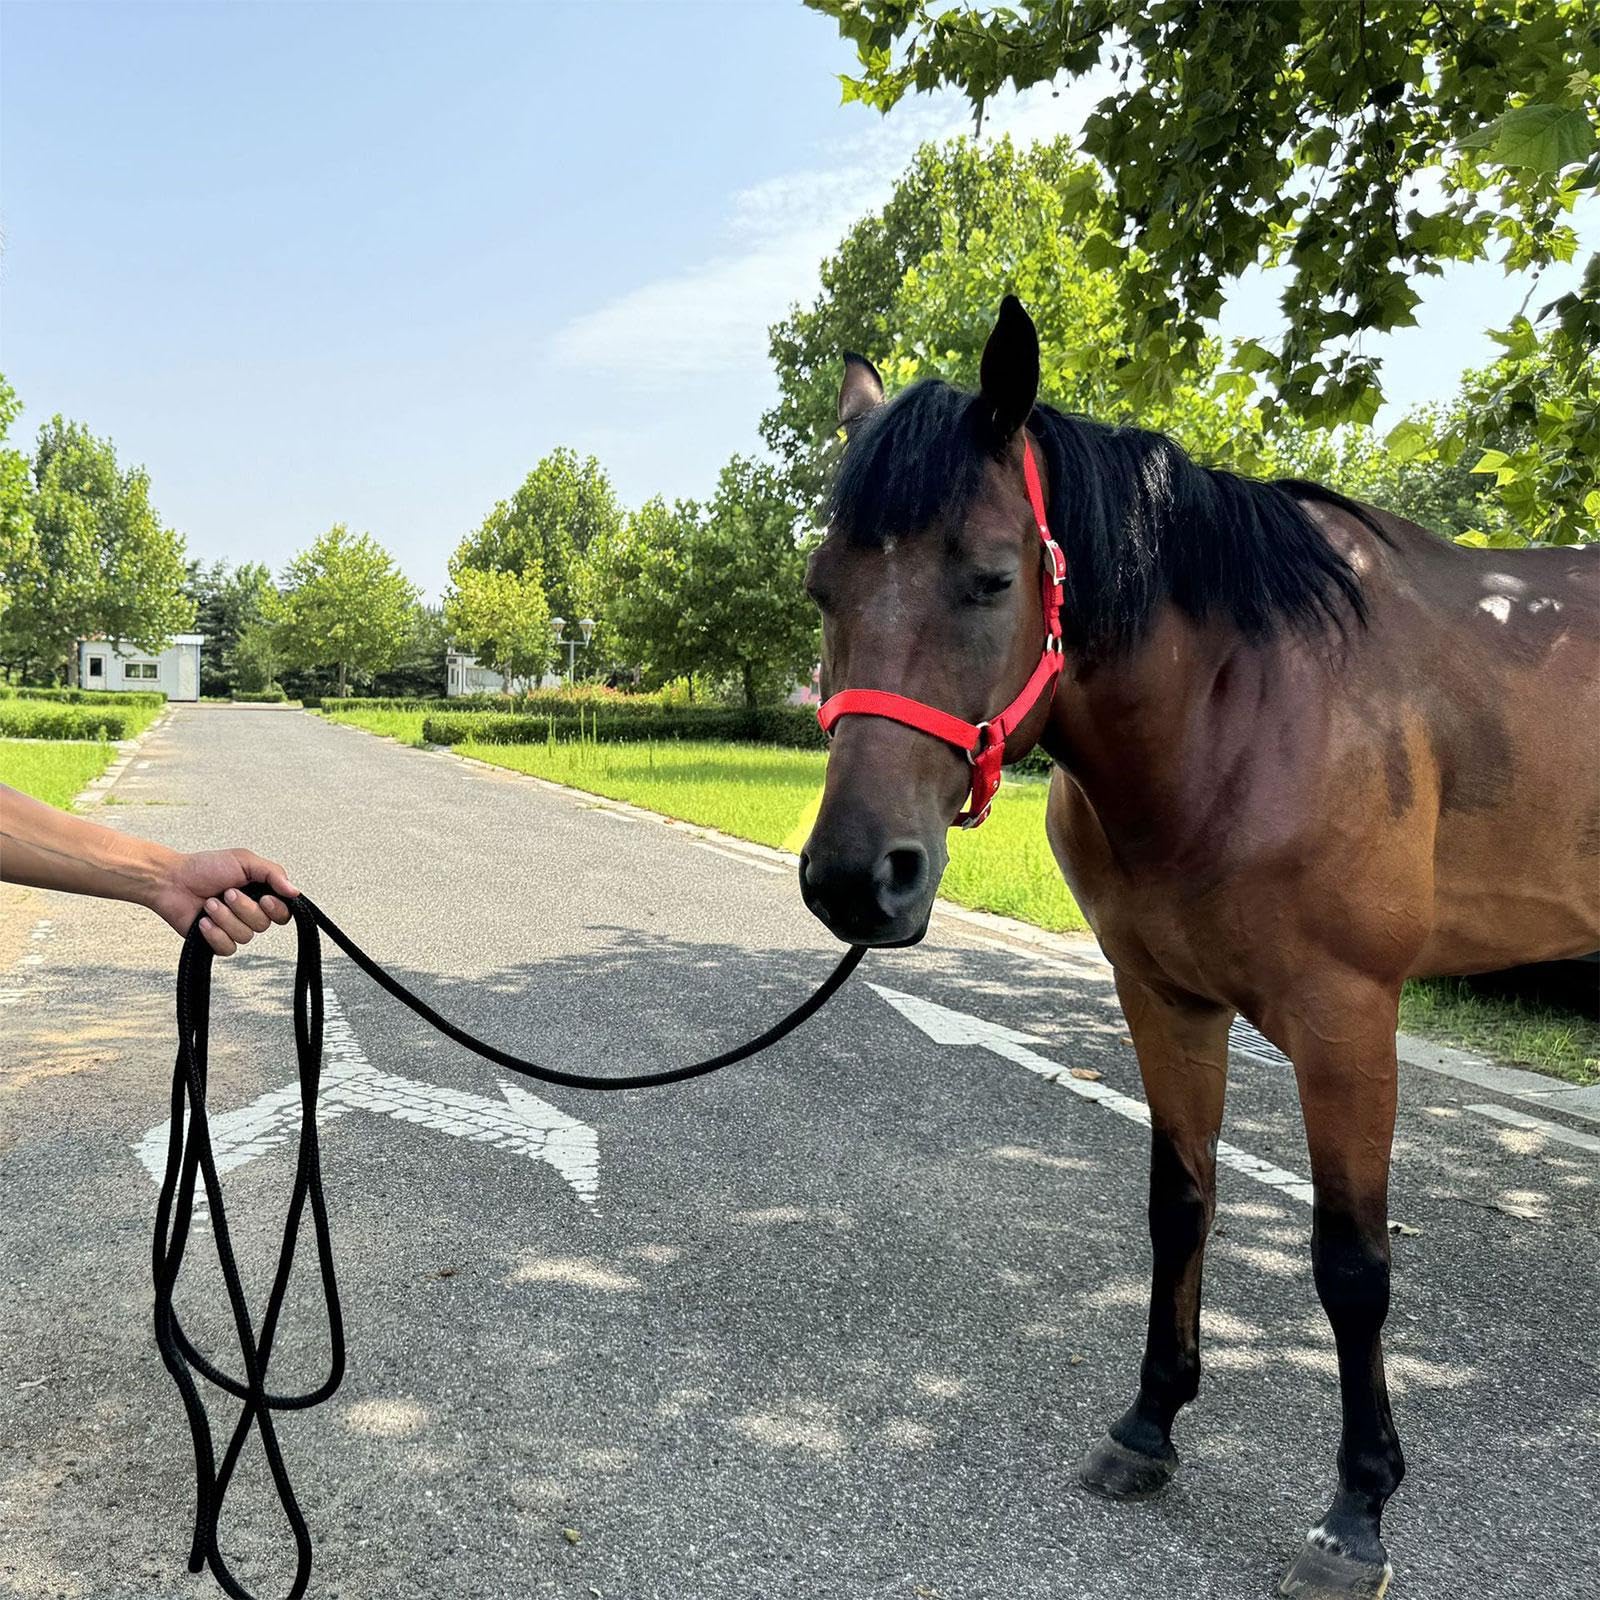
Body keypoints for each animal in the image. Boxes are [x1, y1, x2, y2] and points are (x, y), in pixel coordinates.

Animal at [798, 295, 1600, 1599]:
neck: (1243, 703)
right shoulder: (1164, 997)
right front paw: (1146, 1428)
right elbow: (1179, 1202)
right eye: (823, 588)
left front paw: (1355, 1510)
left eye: (990, 578)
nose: (856, 879)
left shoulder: (1346, 1019)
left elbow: (1350, 1264)